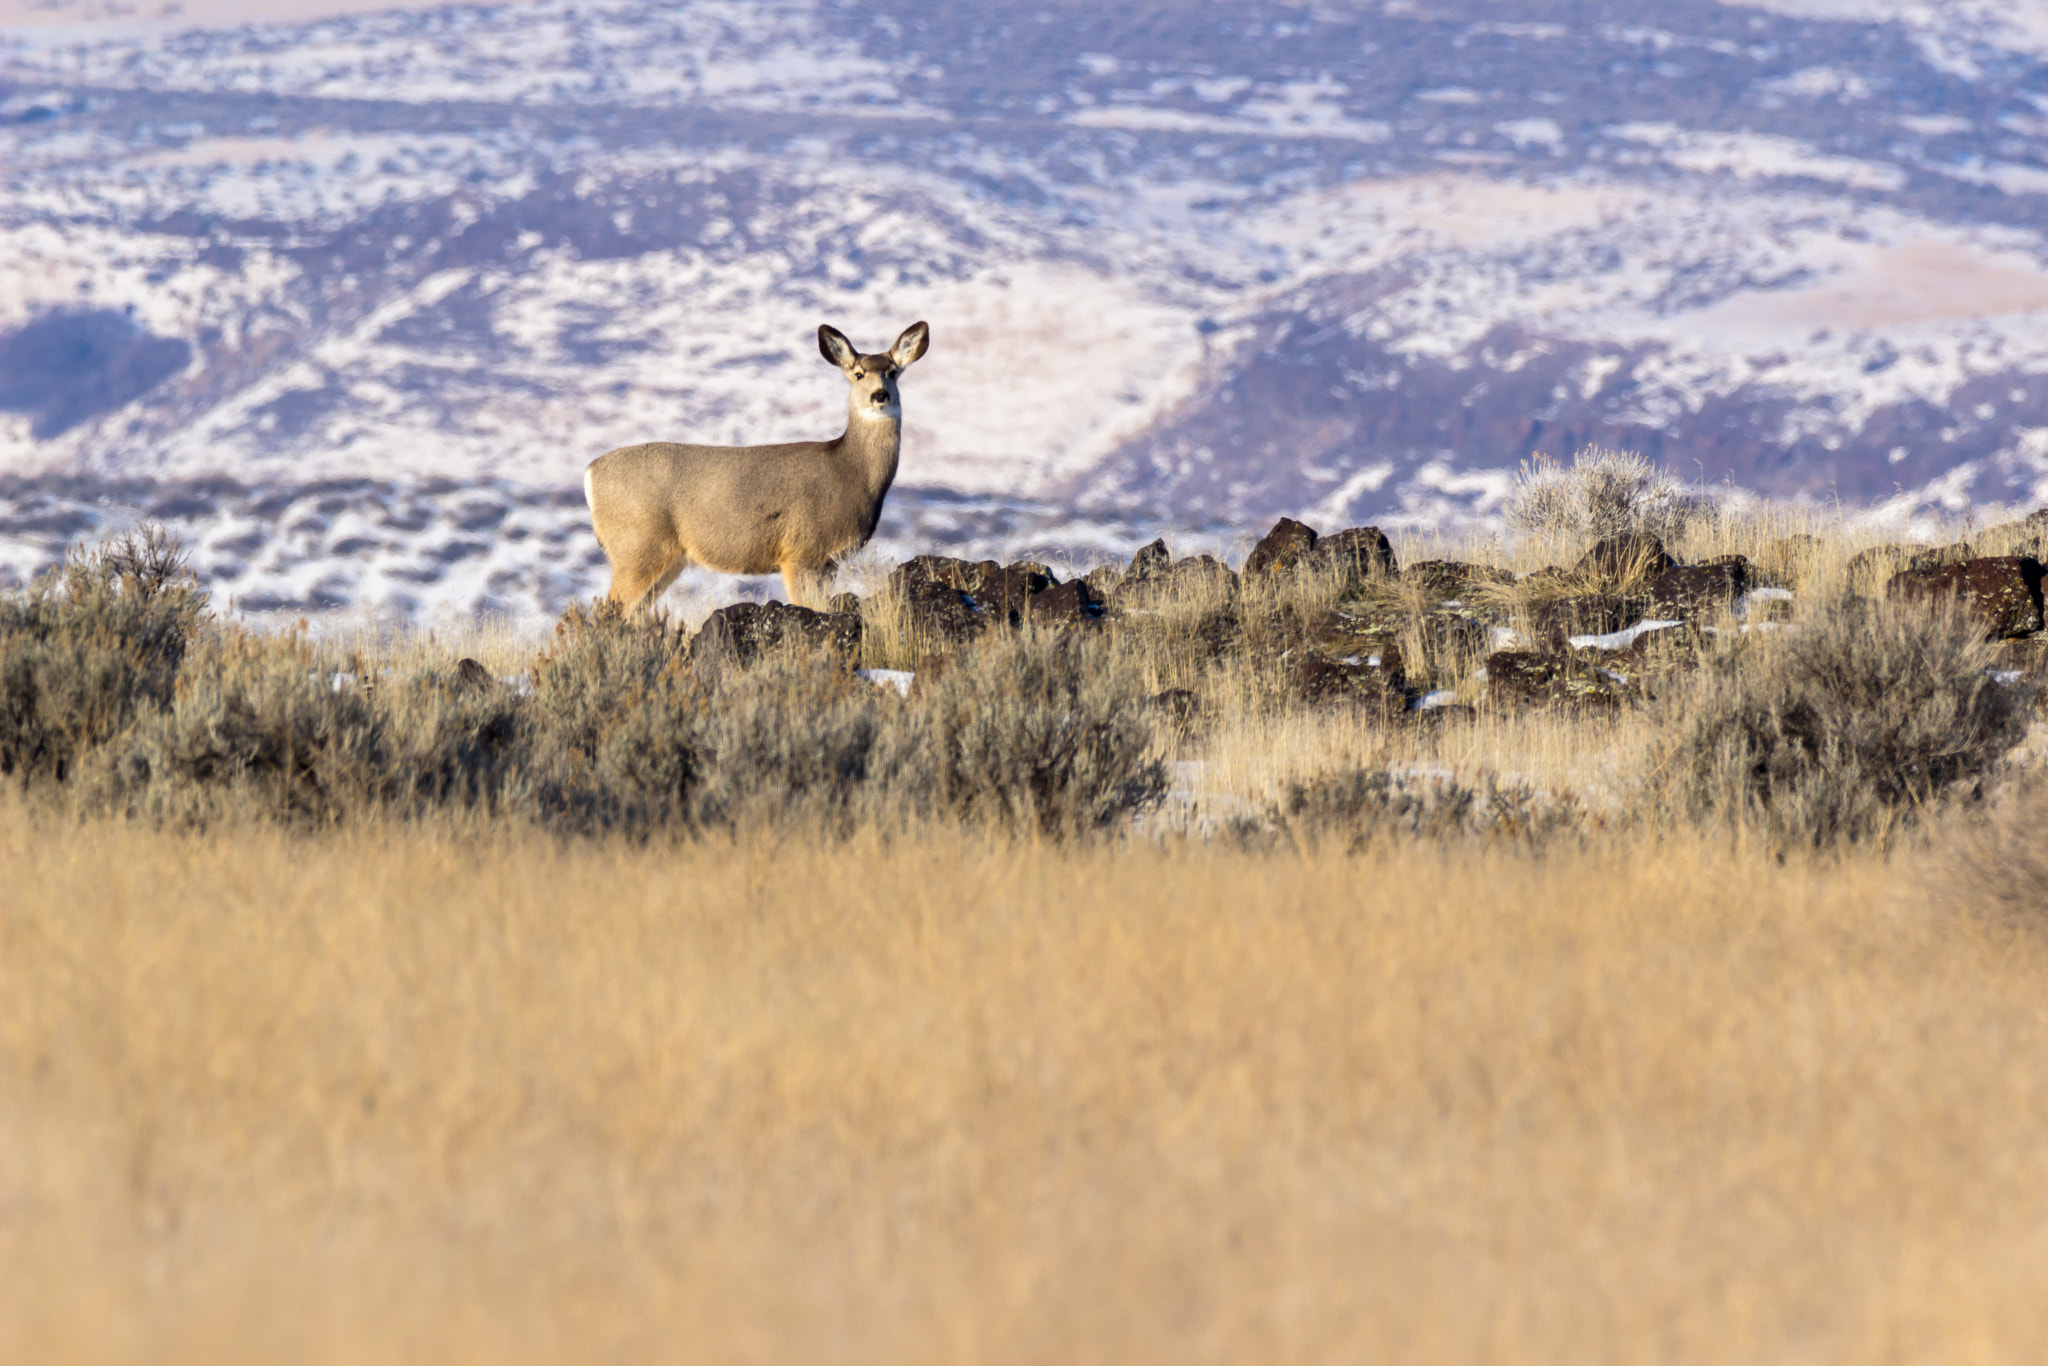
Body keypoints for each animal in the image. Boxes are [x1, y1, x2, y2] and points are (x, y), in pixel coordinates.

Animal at [583, 320, 930, 613]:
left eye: (893, 372)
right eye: (858, 373)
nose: (879, 395)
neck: (851, 472)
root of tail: (589, 473)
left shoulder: (829, 561)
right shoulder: (801, 550)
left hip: (665, 558)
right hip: (636, 545)